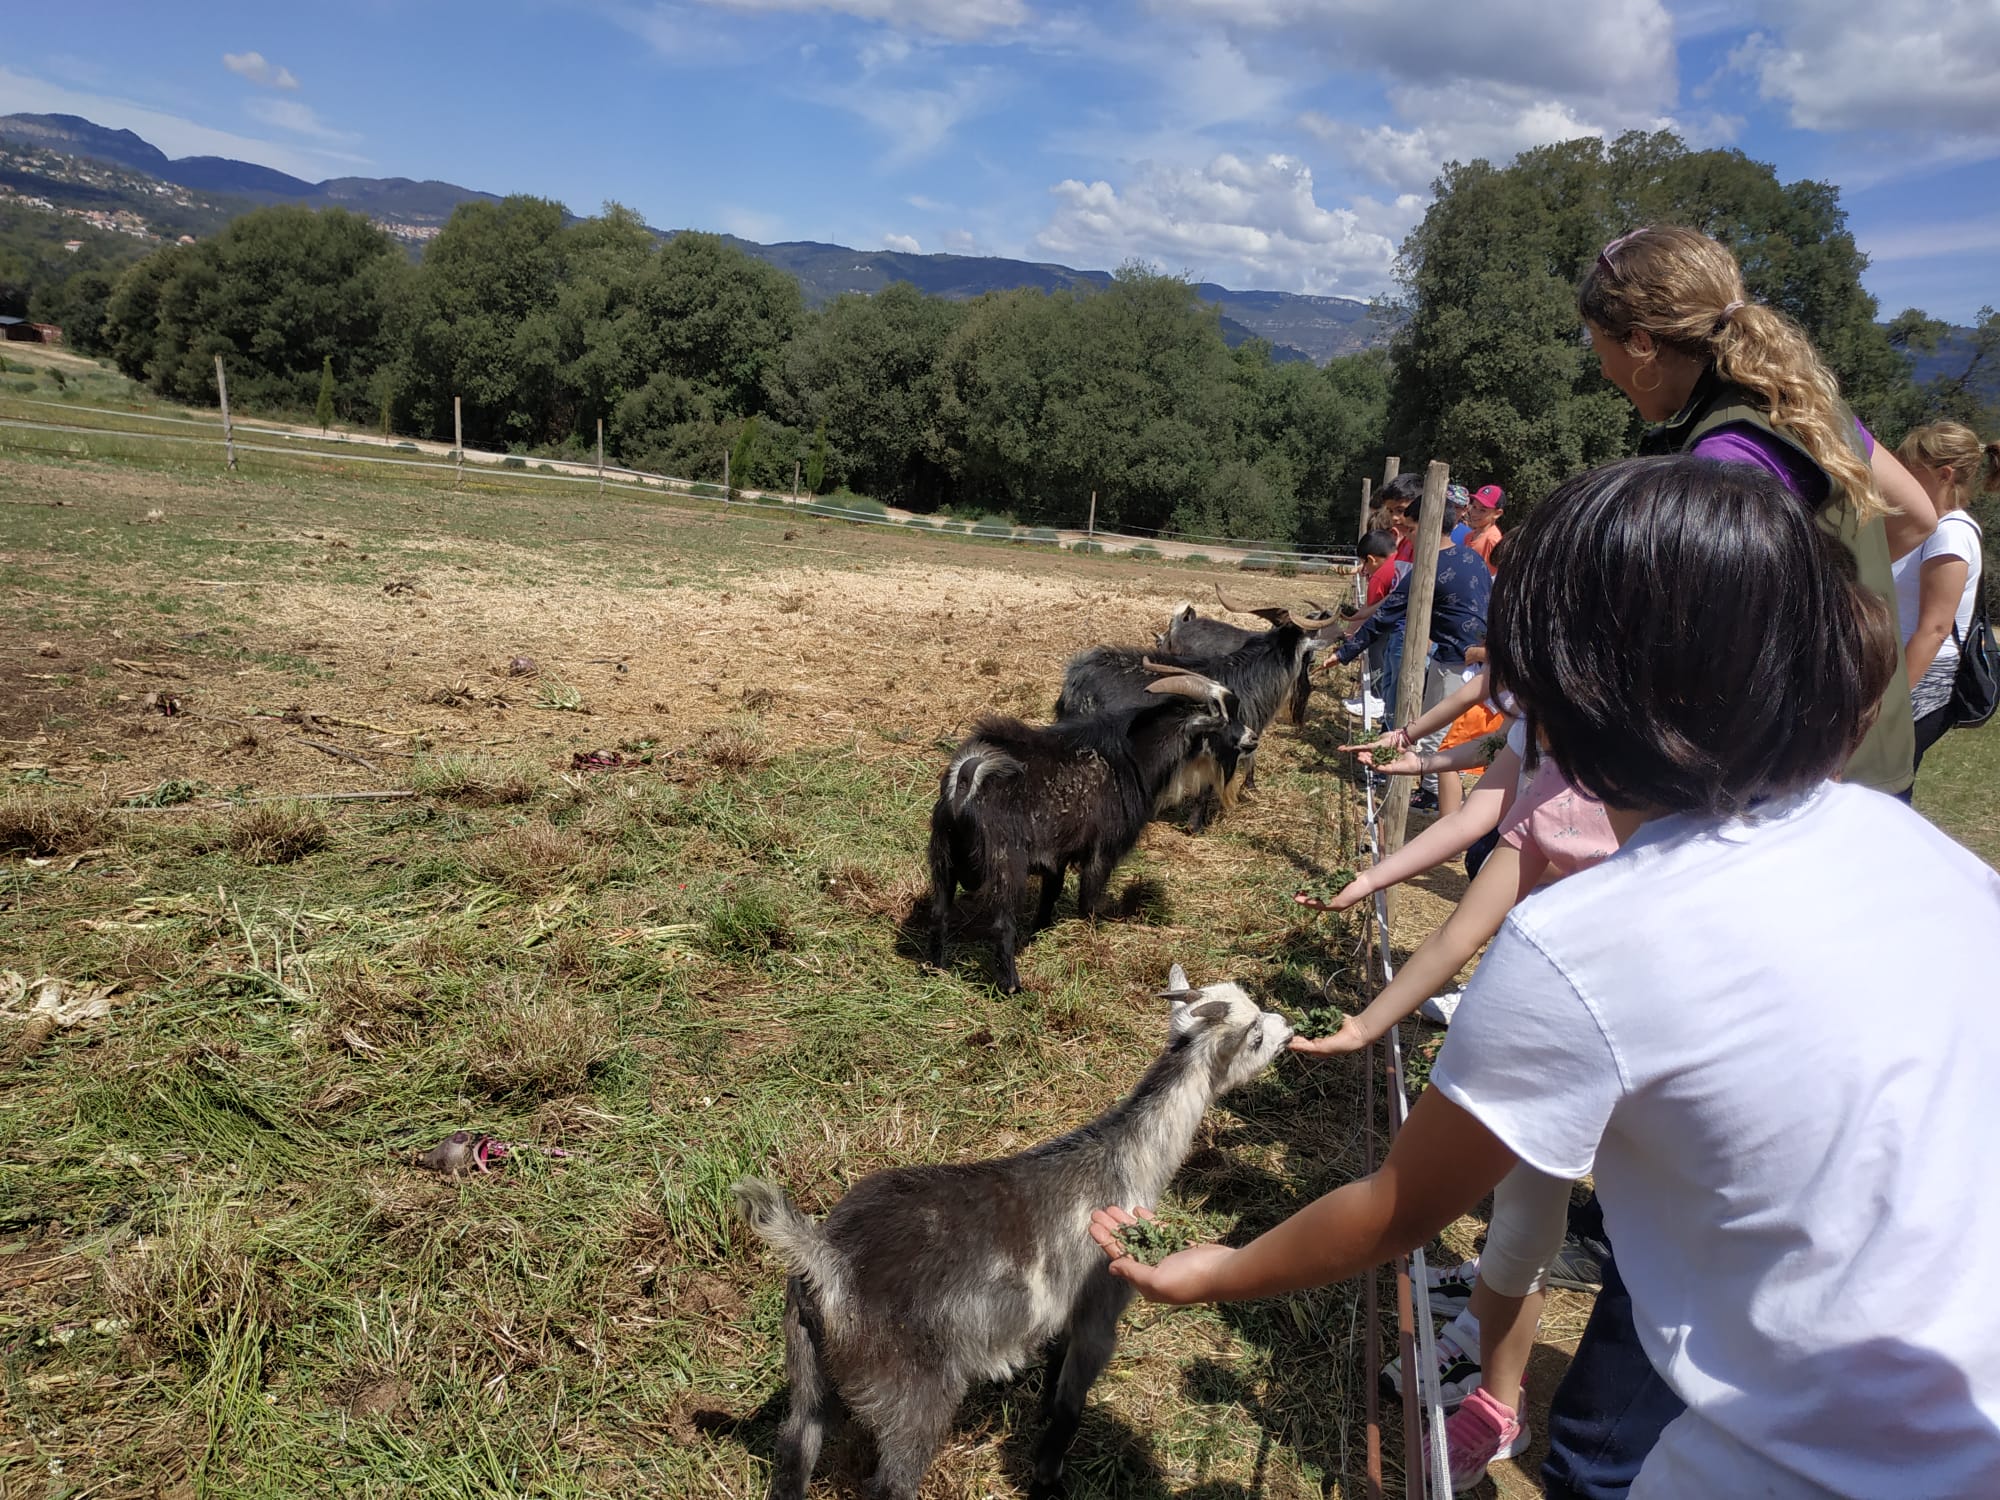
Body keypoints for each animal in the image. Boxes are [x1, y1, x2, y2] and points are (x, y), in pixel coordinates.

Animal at [734, 965, 1295, 1500]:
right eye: (1254, 1035)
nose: (1288, 1029)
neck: (1126, 1161)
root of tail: (827, 1256)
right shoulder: (1101, 1306)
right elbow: (1071, 1406)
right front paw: (1047, 1479)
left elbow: (1056, 1377)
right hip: (912, 1389)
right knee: (892, 1482)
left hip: (806, 1362)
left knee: (795, 1448)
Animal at [928, 674, 1239, 992]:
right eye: (1225, 718)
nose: (1249, 739)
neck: (1130, 758)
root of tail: (966, 778)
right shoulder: (1102, 852)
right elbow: (1088, 900)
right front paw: (1089, 938)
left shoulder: (1057, 856)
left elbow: (1050, 895)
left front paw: (1039, 933)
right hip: (1006, 864)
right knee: (1002, 923)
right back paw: (1012, 986)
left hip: (943, 857)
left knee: (939, 911)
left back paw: (935, 968)